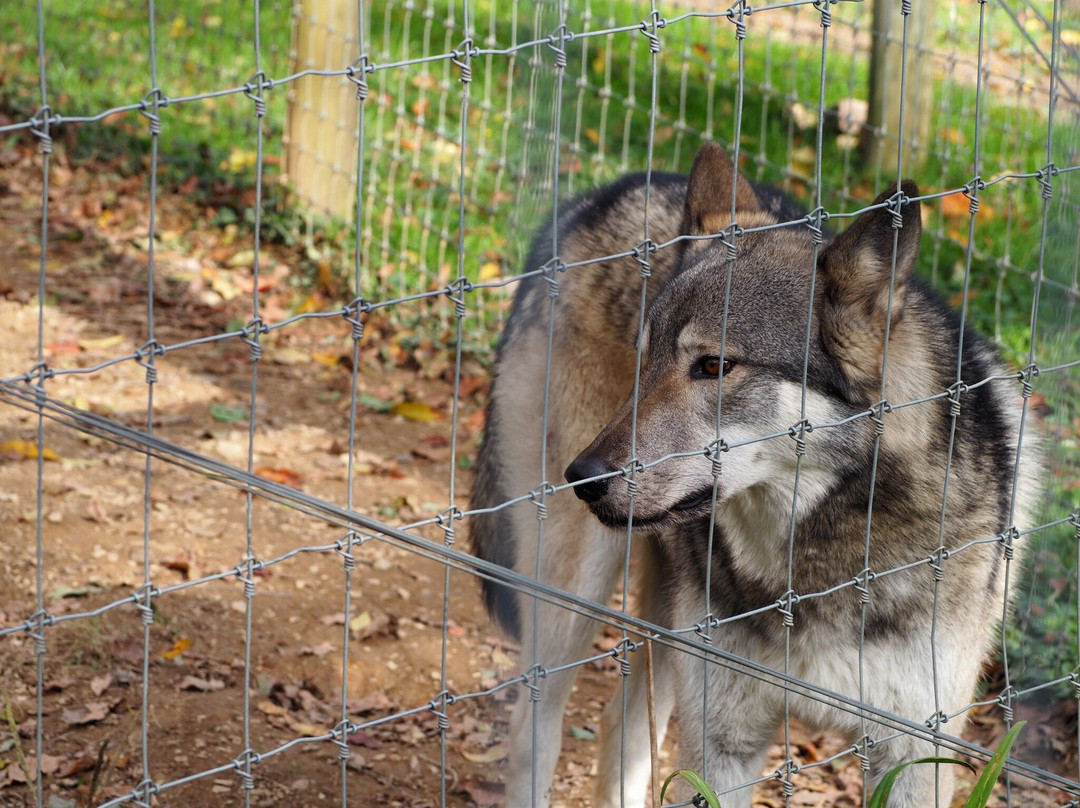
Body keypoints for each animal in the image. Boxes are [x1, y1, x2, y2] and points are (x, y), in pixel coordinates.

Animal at [469, 142, 1040, 808]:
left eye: (713, 366)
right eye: (645, 357)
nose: (581, 477)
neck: (809, 571)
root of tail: (608, 189)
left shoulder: (912, 759)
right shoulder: (723, 745)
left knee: (622, 731)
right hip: (574, 593)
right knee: (534, 727)